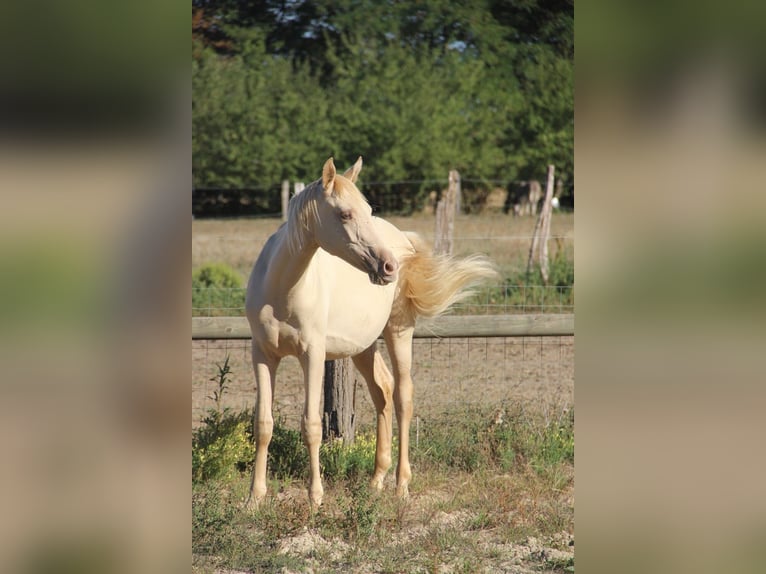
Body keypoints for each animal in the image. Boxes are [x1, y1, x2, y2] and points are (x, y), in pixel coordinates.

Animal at [245, 157, 496, 507]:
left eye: (366, 208)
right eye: (345, 214)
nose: (388, 267)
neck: (281, 288)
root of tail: (403, 241)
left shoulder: (313, 354)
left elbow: (311, 425)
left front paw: (315, 498)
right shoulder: (263, 354)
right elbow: (263, 425)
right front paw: (254, 498)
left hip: (398, 332)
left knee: (403, 395)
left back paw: (401, 485)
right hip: (363, 348)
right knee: (383, 391)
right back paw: (377, 479)